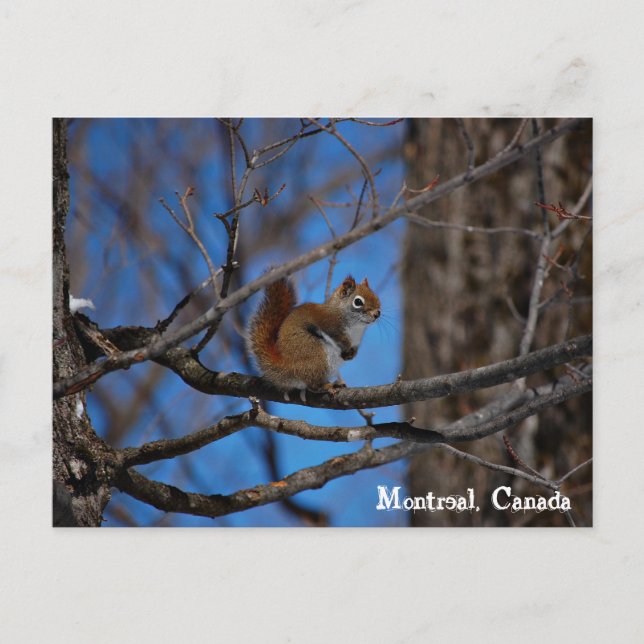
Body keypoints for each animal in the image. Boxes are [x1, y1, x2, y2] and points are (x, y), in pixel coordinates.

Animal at [248, 275, 381, 394]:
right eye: (358, 301)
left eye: (376, 297)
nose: (377, 313)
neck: (356, 327)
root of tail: (286, 366)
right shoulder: (328, 324)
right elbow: (337, 337)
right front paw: (347, 347)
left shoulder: (357, 340)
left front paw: (351, 355)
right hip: (316, 356)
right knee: (312, 385)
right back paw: (327, 386)